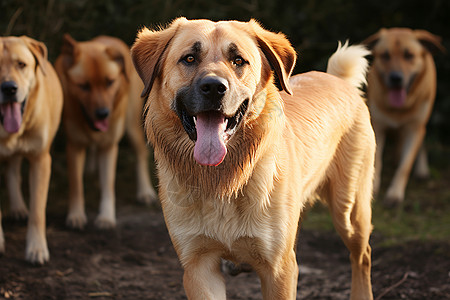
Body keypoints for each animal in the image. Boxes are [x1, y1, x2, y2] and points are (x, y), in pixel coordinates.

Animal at [0, 36, 63, 264]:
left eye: (21, 64)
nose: (9, 88)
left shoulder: (41, 159)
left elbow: (37, 210)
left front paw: (36, 249)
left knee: (13, 169)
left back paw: (18, 207)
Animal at [54, 34, 157, 229]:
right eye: (84, 86)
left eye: (110, 82)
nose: (103, 113)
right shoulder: (74, 145)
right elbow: (76, 185)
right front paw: (76, 215)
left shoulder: (109, 146)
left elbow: (108, 184)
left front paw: (106, 217)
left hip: (131, 126)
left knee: (141, 153)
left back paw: (145, 191)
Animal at [132, 18, 374, 300]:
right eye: (189, 58)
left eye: (238, 60)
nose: (214, 88)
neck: (222, 180)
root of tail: (338, 80)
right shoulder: (199, 266)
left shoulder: (278, 269)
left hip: (348, 210)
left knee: (362, 255)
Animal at [364, 28, 444, 206]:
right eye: (385, 55)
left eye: (409, 55)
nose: (396, 78)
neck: (400, 108)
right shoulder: (378, 127)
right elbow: (377, 160)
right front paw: (373, 189)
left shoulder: (414, 129)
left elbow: (405, 166)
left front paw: (394, 194)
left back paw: (421, 169)